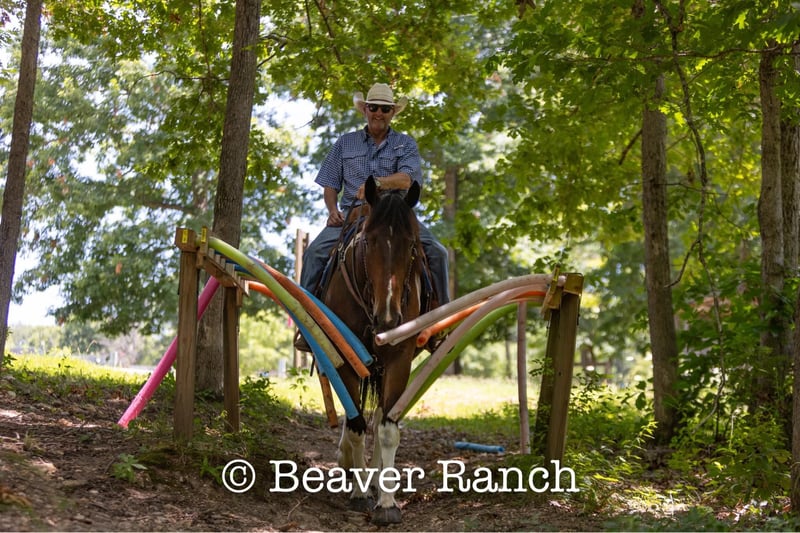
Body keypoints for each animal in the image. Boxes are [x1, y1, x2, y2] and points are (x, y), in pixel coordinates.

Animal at [322, 176, 424, 525]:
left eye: (412, 245)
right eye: (369, 241)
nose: (389, 318)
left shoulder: (399, 360)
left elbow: (387, 428)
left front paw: (387, 503)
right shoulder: (344, 360)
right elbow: (355, 426)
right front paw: (359, 494)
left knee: (379, 415)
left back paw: (378, 477)